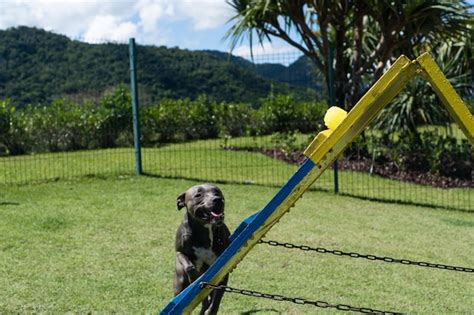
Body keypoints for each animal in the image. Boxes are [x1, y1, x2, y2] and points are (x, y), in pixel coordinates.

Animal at [176, 184, 231, 314]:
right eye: (198, 195)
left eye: (217, 191)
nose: (217, 199)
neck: (204, 229)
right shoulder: (179, 252)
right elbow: (189, 266)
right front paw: (194, 277)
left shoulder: (223, 270)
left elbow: (216, 299)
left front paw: (210, 310)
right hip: (179, 280)